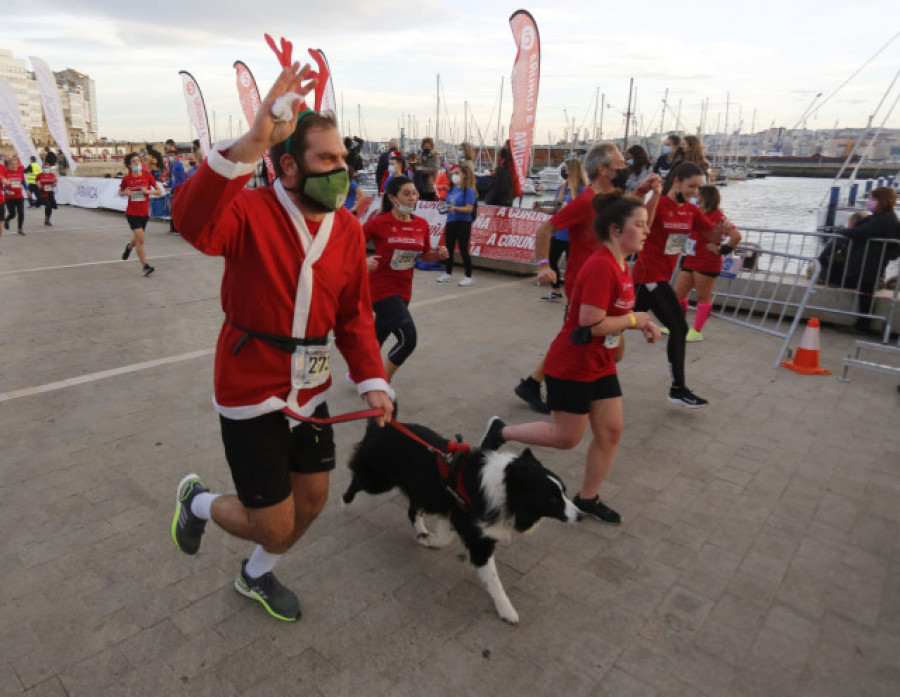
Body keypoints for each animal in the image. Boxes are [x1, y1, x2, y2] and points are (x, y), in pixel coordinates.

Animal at [342, 418, 580, 624]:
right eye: (552, 499)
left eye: (564, 491)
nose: (580, 515)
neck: (504, 491)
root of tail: (381, 424)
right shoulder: (474, 532)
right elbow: (492, 576)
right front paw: (506, 609)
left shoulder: (454, 513)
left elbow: (444, 537)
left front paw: (426, 540)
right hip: (378, 480)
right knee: (357, 480)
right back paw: (344, 504)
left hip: (419, 489)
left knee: (412, 511)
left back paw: (421, 529)